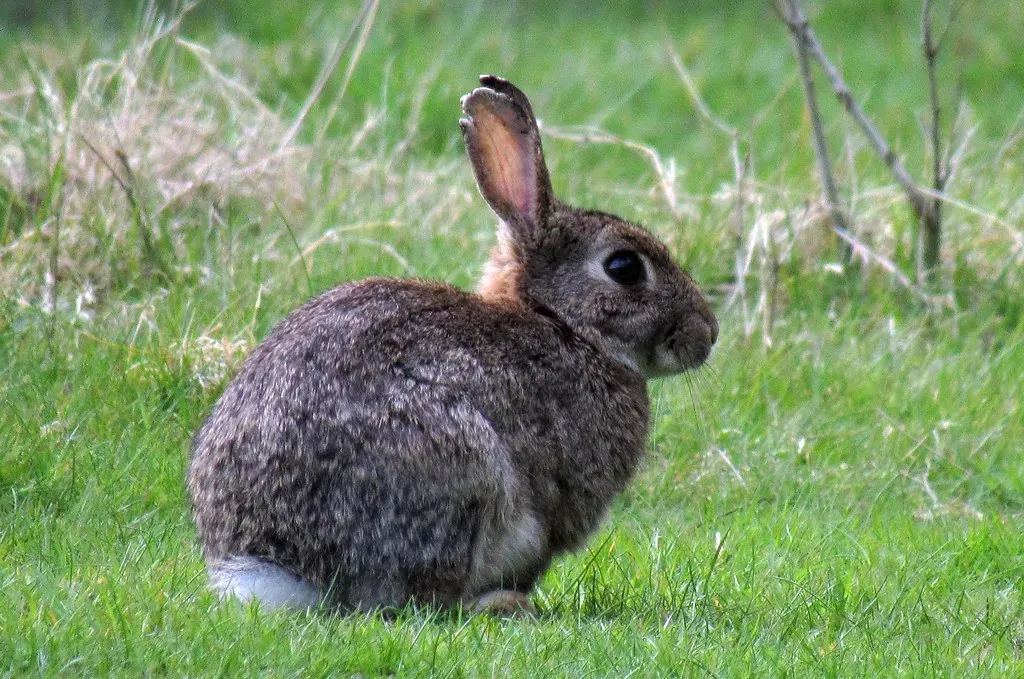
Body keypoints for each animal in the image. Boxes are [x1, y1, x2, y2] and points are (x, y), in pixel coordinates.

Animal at [187, 75, 718, 616]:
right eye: (624, 267)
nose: (708, 333)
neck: (562, 324)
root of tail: (282, 567)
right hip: (461, 469)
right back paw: (501, 604)